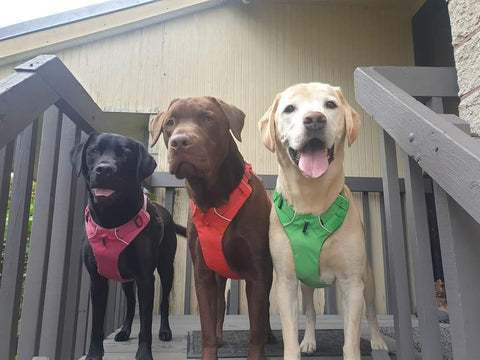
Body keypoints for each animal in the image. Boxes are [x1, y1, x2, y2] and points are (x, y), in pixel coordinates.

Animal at [69, 132, 178, 360]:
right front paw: (94, 354)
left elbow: (145, 324)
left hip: (166, 268)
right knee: (129, 305)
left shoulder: (146, 279)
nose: (104, 169)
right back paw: (125, 331)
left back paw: (165, 330)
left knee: (163, 303)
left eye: (124, 154)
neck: (112, 220)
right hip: (126, 279)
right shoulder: (97, 279)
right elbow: (97, 325)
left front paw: (144, 354)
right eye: (94, 151)